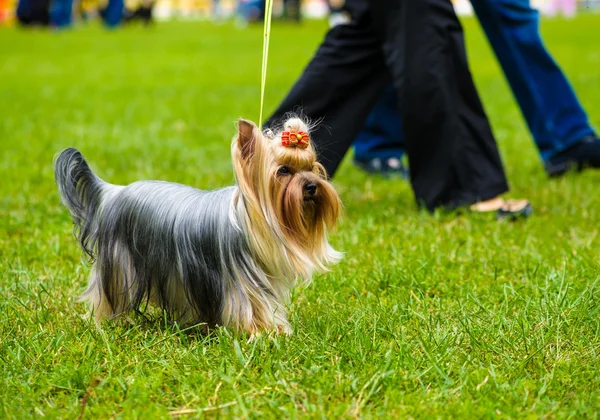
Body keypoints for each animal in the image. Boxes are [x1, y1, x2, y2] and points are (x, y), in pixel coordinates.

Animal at [55, 115, 342, 334]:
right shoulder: (241, 283)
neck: (247, 220)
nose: (312, 186)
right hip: (120, 265)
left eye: (312, 167)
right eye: (283, 171)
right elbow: (251, 307)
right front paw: (262, 333)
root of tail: (113, 192)